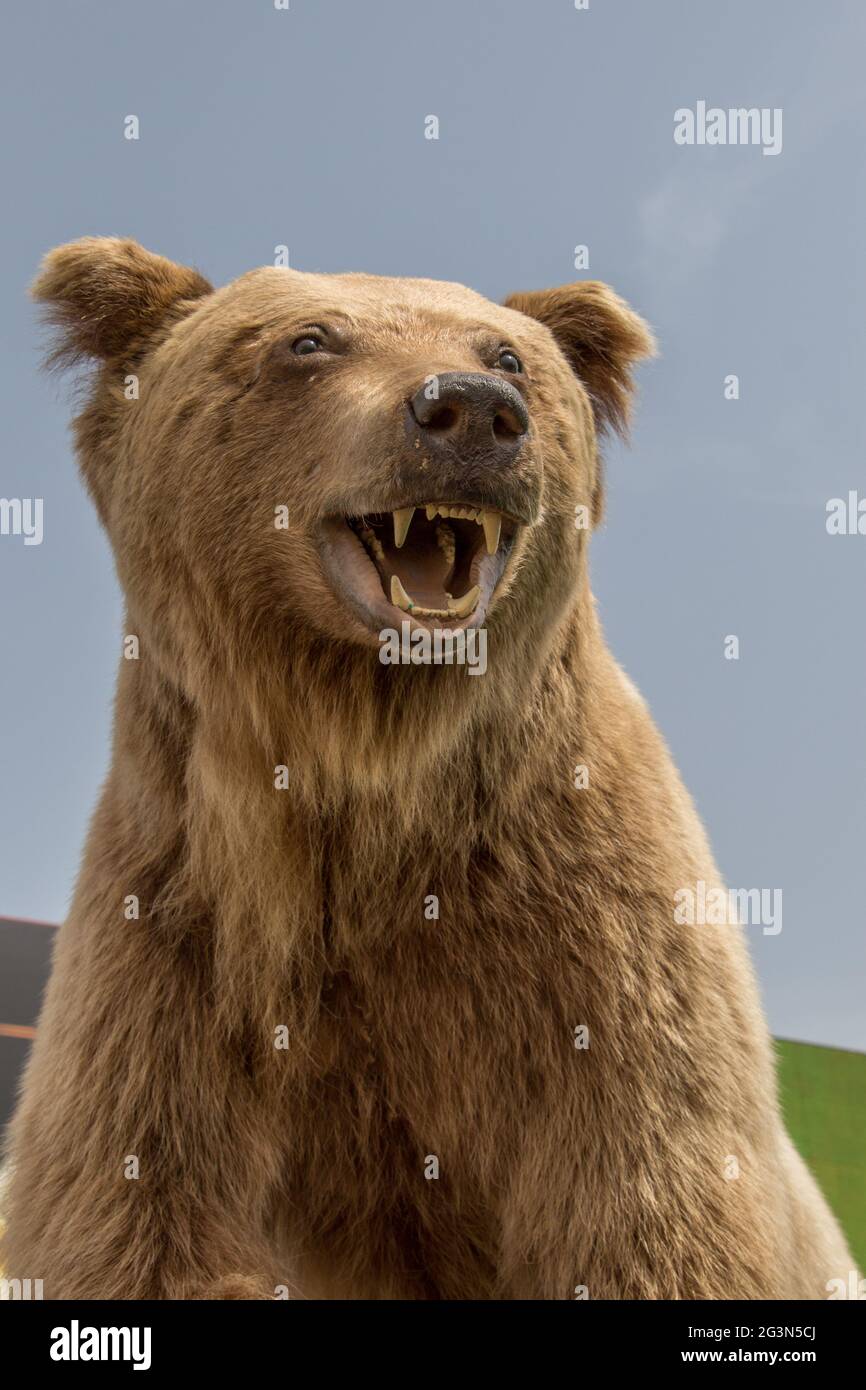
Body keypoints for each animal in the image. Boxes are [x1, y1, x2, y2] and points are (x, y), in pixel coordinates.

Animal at [0, 241, 856, 1301]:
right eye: (309, 340)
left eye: (510, 354)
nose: (475, 412)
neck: (371, 758)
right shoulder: (176, 927)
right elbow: (136, 1205)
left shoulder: (594, 938)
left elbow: (645, 1201)